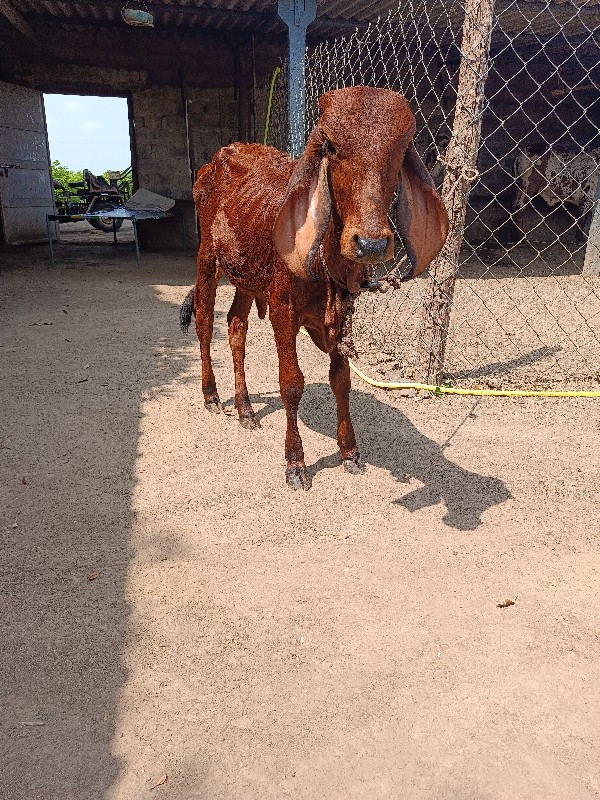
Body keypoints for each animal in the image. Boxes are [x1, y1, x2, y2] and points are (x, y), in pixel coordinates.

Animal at [180, 86, 448, 488]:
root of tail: (220, 158)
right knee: (204, 321)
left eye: (402, 149)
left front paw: (350, 451)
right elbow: (291, 384)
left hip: (247, 277)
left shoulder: (341, 315)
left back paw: (245, 409)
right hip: (207, 259)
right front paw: (295, 462)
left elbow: (342, 380)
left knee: (236, 326)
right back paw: (211, 394)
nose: (371, 243)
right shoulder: (283, 310)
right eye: (331, 146)